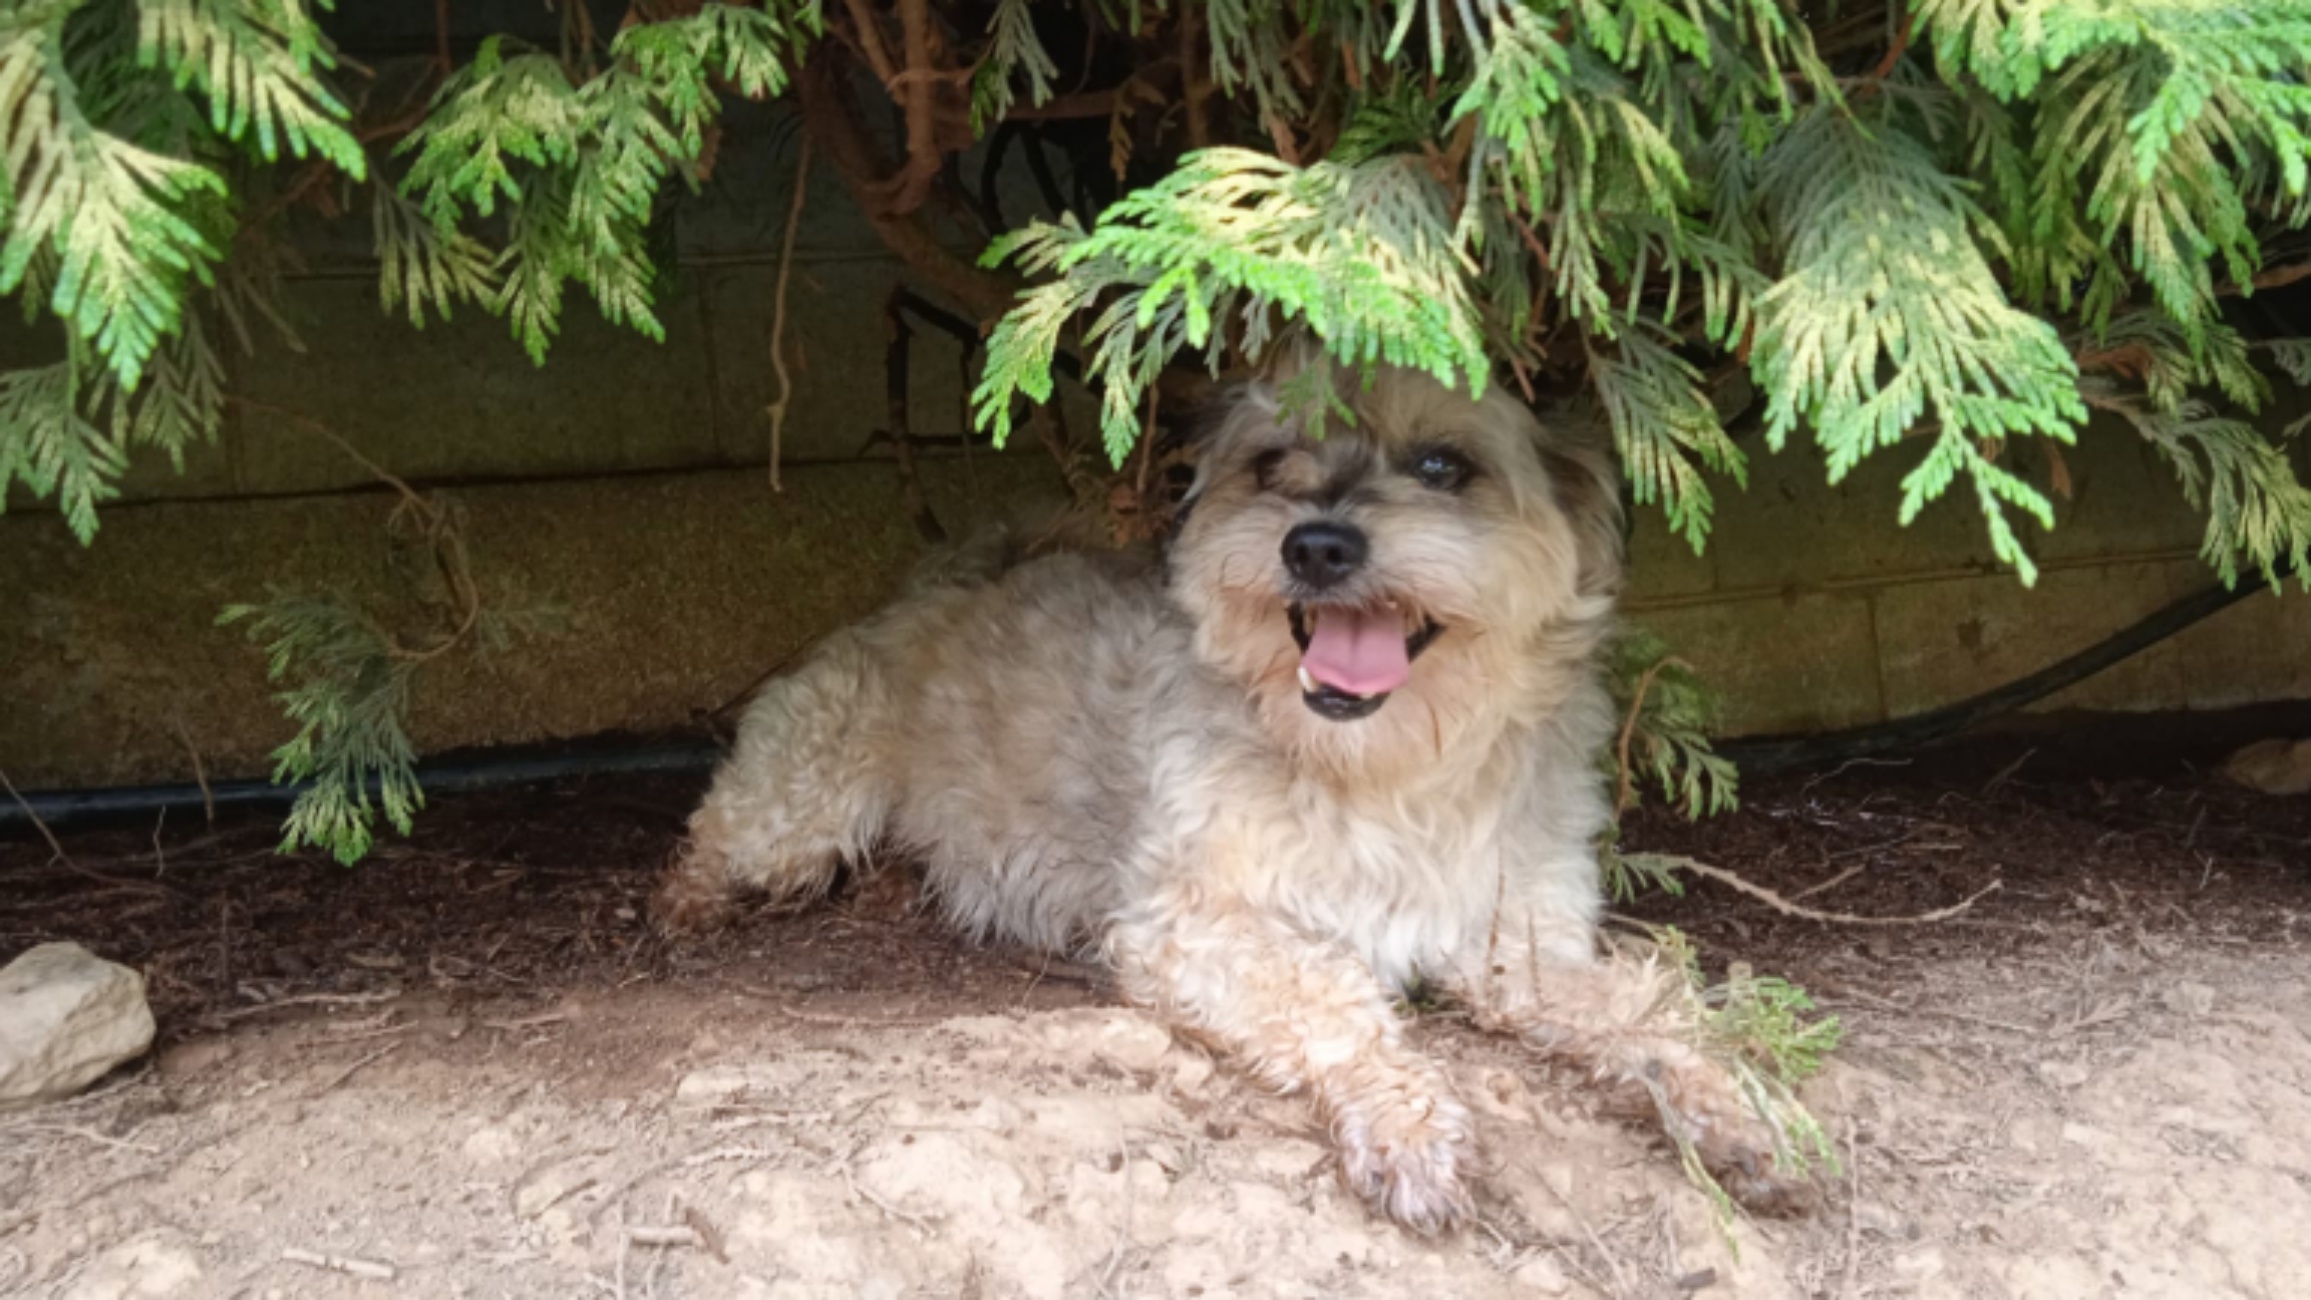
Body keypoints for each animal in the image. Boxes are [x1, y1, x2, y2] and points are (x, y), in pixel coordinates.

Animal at [651, 353, 1802, 1228]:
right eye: (1271, 463)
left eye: (1445, 465)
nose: (1316, 541)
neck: (1382, 771)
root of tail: (939, 587)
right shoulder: (1194, 924)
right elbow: (1337, 992)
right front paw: (1408, 1123)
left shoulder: (1518, 942)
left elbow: (1646, 1004)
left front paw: (1736, 1105)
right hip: (799, 808)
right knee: (716, 836)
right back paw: (693, 903)